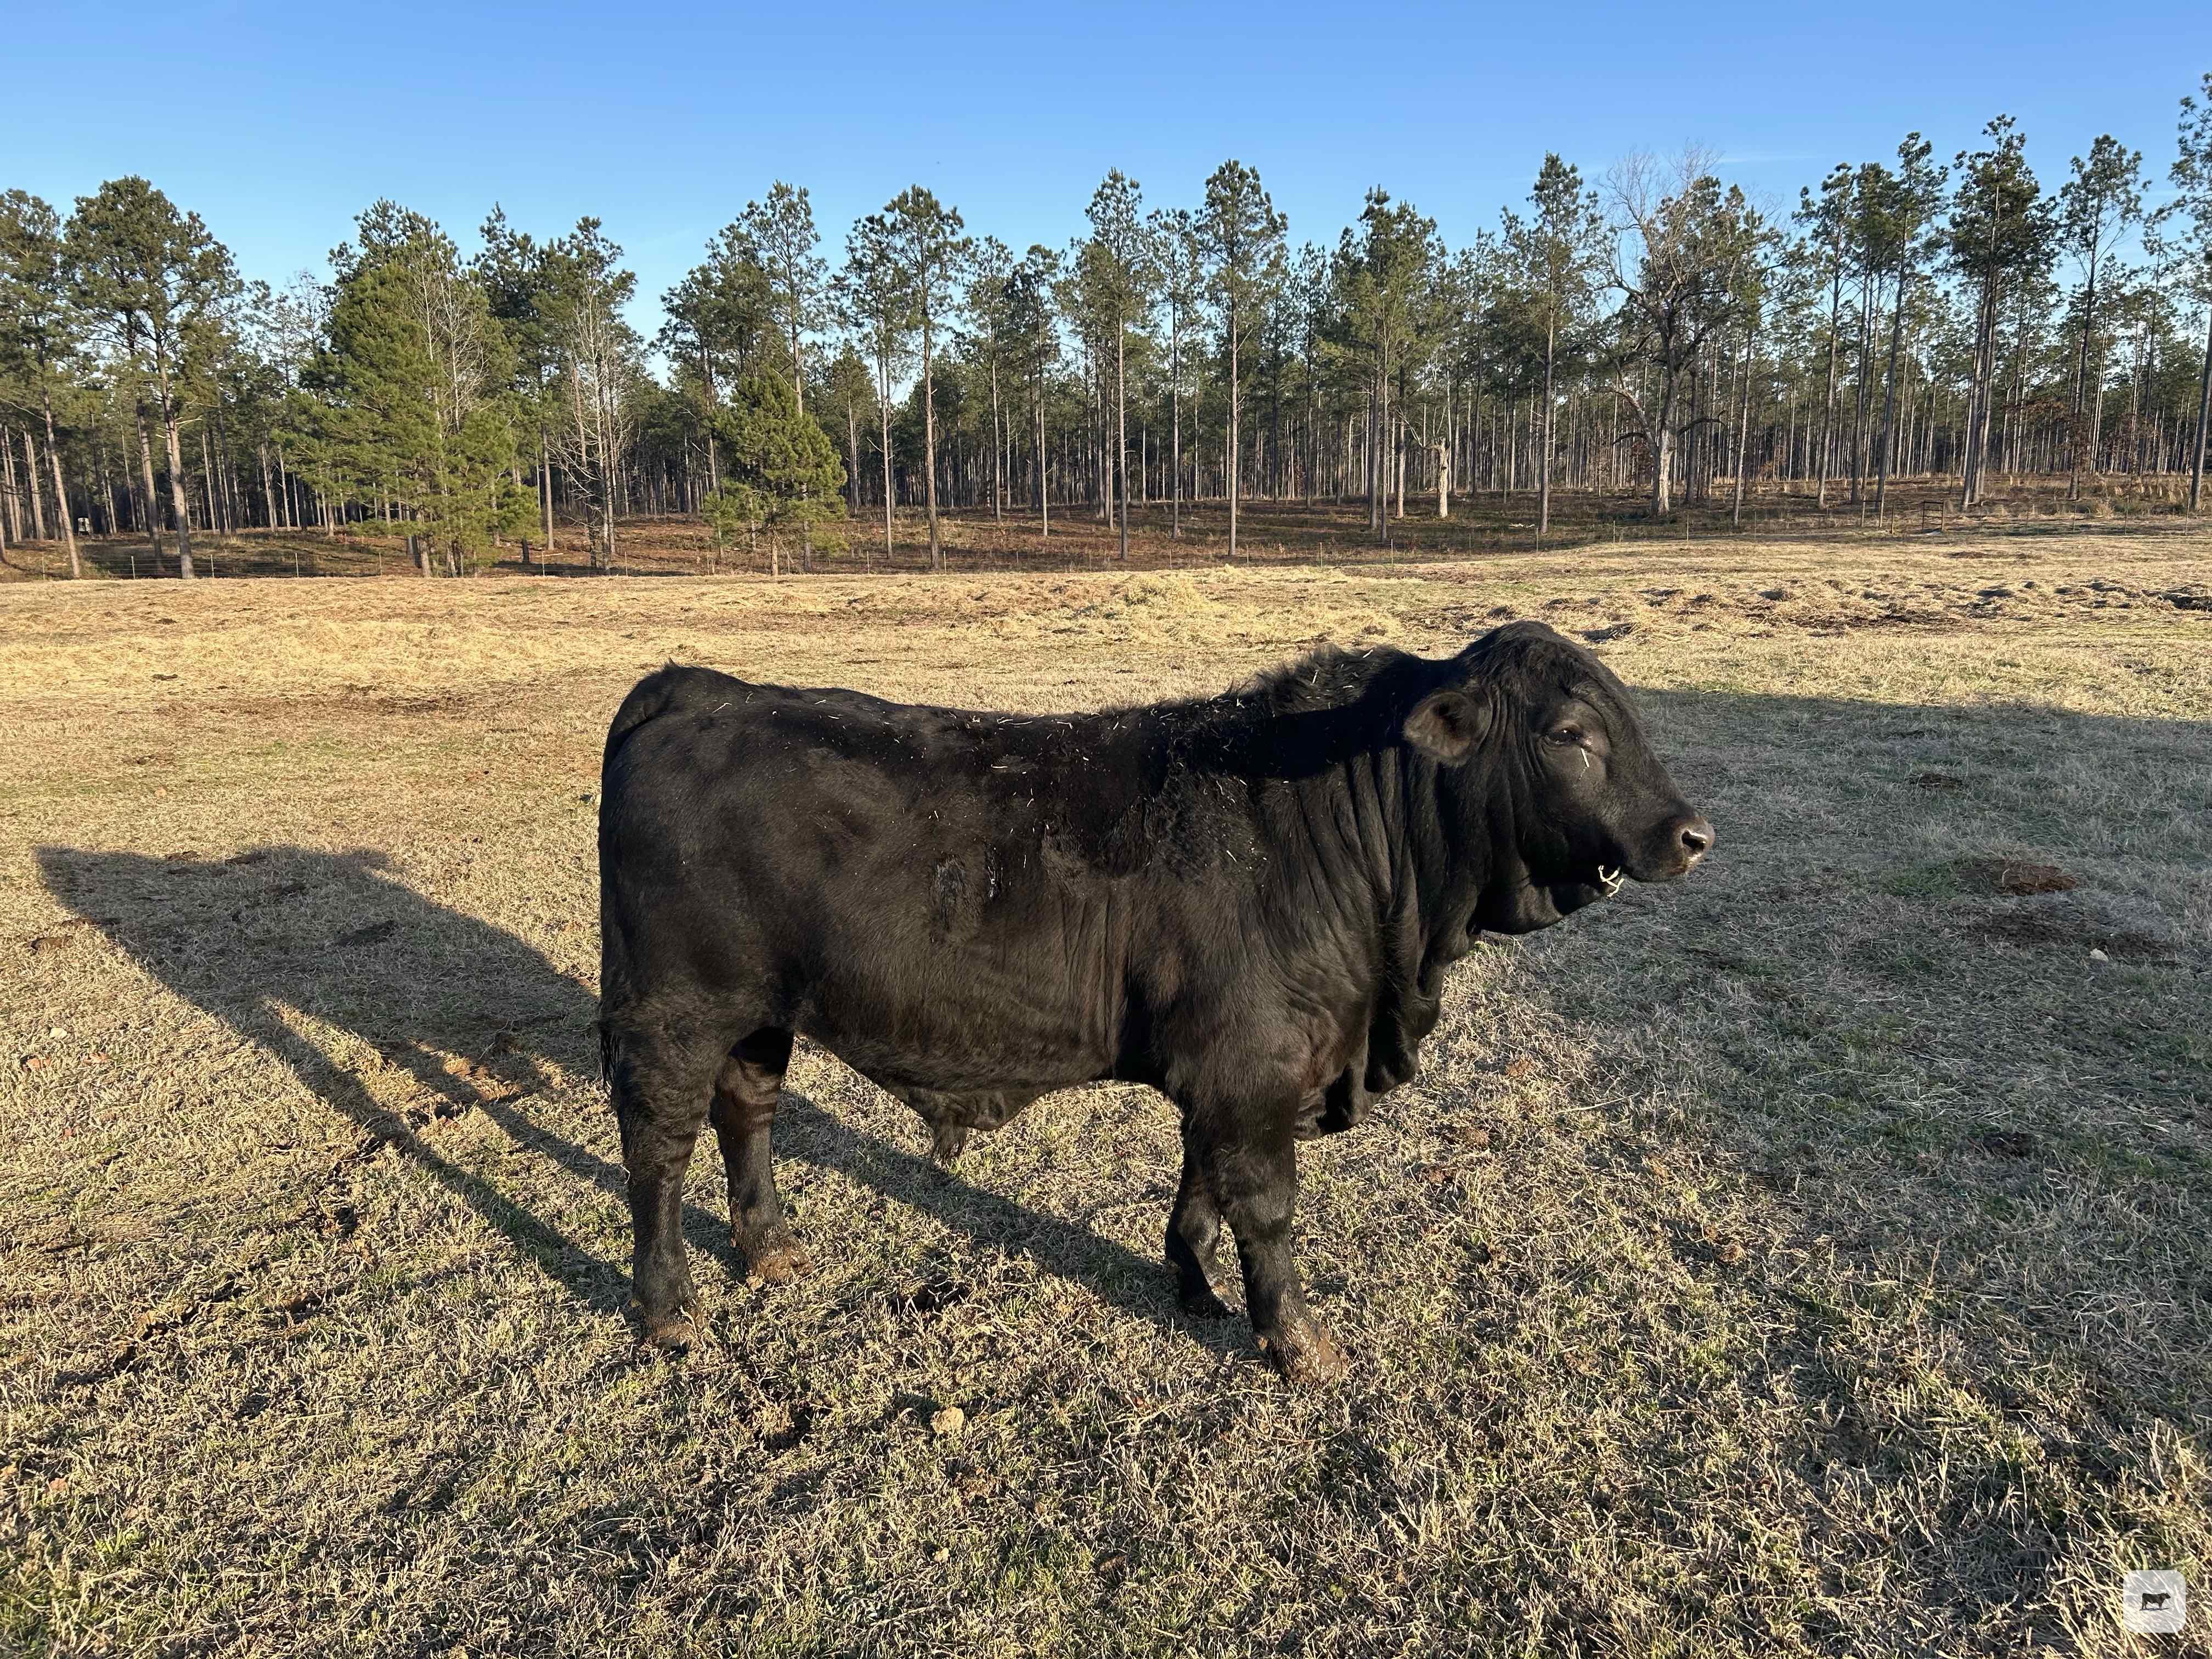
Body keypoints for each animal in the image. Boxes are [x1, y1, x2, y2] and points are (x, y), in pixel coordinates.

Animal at [596, 620, 1713, 1384]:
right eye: (1571, 734)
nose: (1692, 834)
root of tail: (702, 689)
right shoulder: (1254, 1067)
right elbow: (1265, 1203)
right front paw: (1297, 1339)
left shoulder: (1227, 1071)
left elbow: (1201, 1188)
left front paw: (1194, 1284)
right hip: (674, 1011)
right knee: (658, 1150)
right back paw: (669, 1307)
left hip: (759, 1013)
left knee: (747, 1111)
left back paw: (771, 1249)